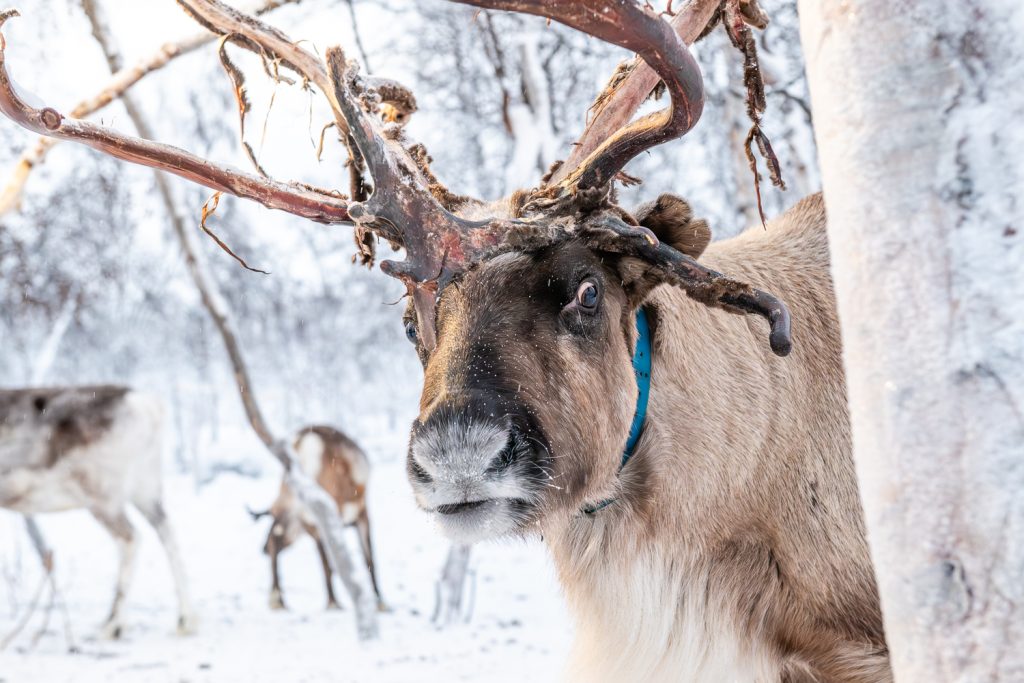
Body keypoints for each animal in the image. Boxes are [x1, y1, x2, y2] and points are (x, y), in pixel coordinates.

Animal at [0, 386, 196, 638]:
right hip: (146, 489)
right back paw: (185, 620)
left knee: (130, 537)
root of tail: (146, 405)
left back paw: (112, 624)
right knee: (166, 533)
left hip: (103, 497)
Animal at [248, 425, 384, 611]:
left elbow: (367, 559)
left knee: (278, 539)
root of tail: (303, 441)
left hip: (296, 507)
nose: (262, 549)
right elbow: (357, 560)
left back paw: (279, 599)